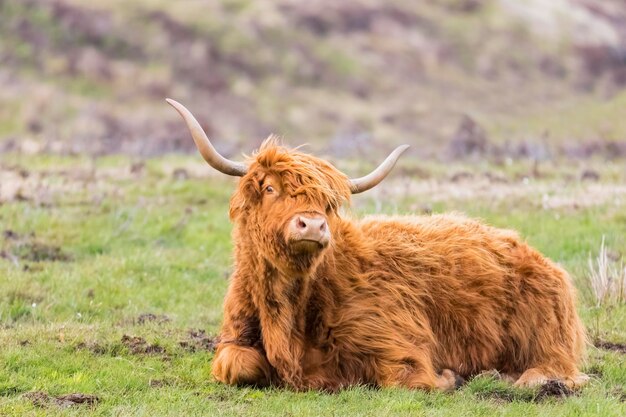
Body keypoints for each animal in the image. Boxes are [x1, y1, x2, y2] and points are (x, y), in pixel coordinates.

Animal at [165, 99, 584, 392]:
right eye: (270, 188)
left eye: (328, 204)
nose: (312, 224)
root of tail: (530, 252)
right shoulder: (234, 335)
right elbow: (236, 364)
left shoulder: (397, 342)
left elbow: (409, 378)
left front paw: (452, 377)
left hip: (547, 338)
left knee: (558, 370)